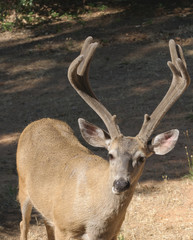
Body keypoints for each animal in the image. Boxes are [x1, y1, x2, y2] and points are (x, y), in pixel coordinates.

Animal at [16, 36, 190, 240]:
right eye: (110, 154)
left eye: (141, 158)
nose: (120, 184)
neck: (94, 220)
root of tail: (39, 121)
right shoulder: (64, 226)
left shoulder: (113, 232)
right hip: (23, 187)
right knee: (23, 224)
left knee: (45, 222)